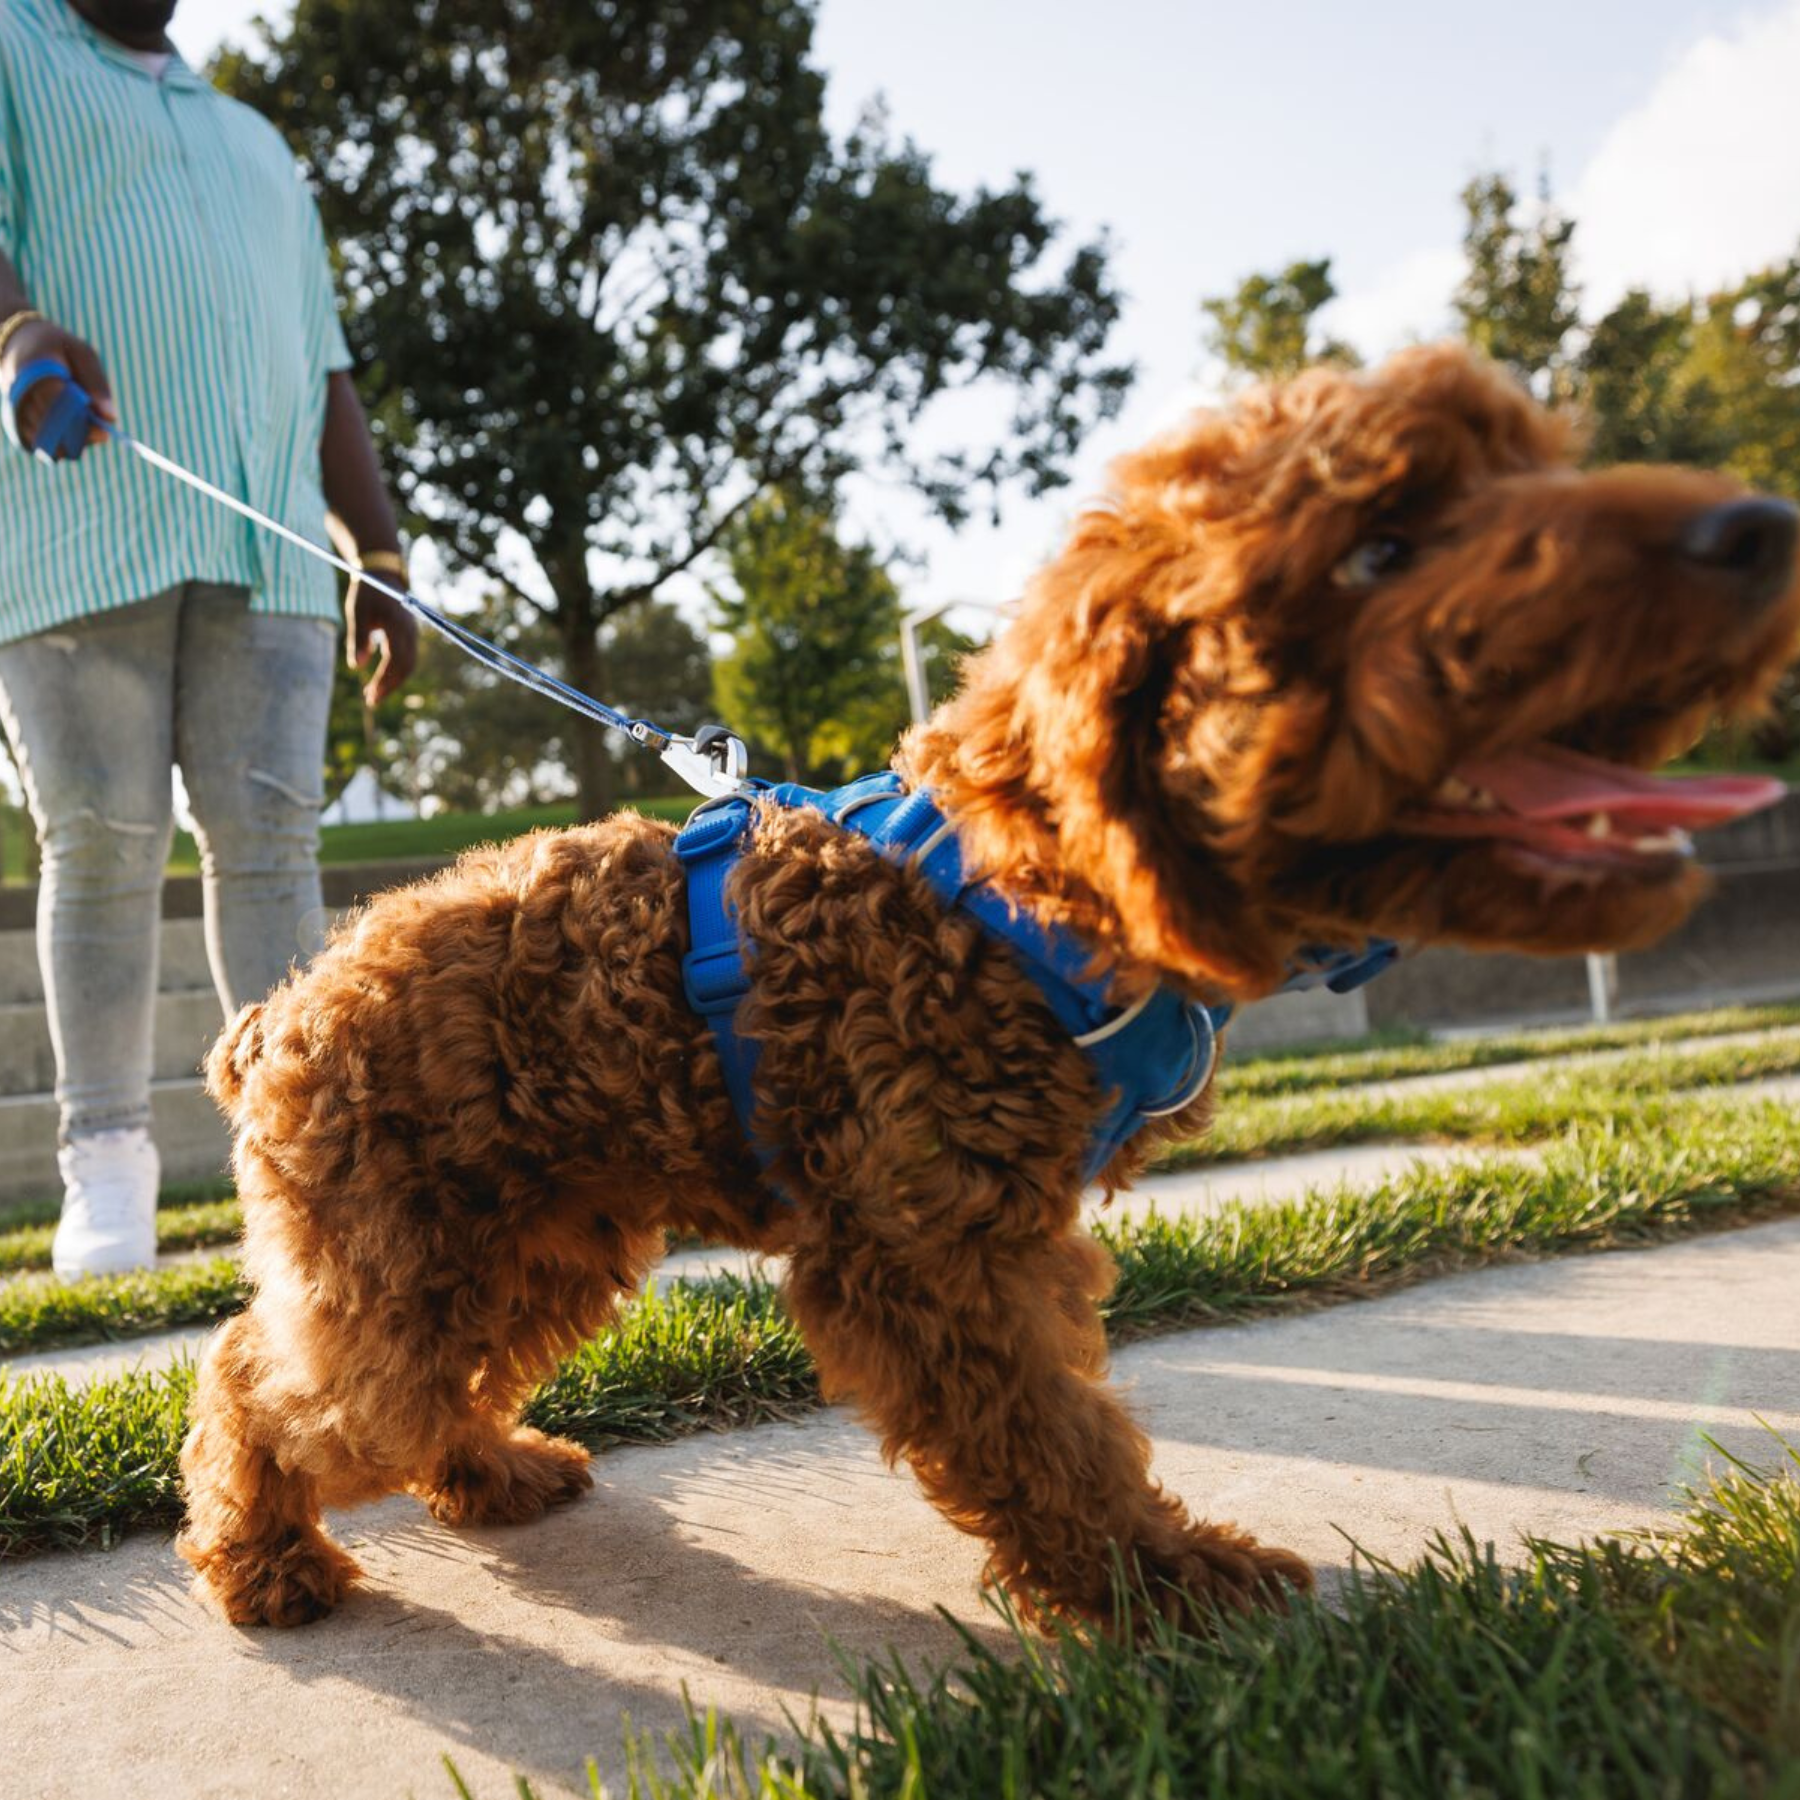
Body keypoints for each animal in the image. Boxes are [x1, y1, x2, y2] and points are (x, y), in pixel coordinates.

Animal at [179, 340, 1800, 1634]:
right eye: (1379, 546)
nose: (1758, 526)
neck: (1033, 890)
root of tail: (275, 1016)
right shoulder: (932, 1249)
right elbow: (1046, 1439)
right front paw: (1154, 1585)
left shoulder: (988, 1238)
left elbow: (1054, 1425)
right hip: (413, 1251)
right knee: (268, 1383)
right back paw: (265, 1560)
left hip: (532, 1240)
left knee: (409, 1388)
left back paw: (483, 1471)